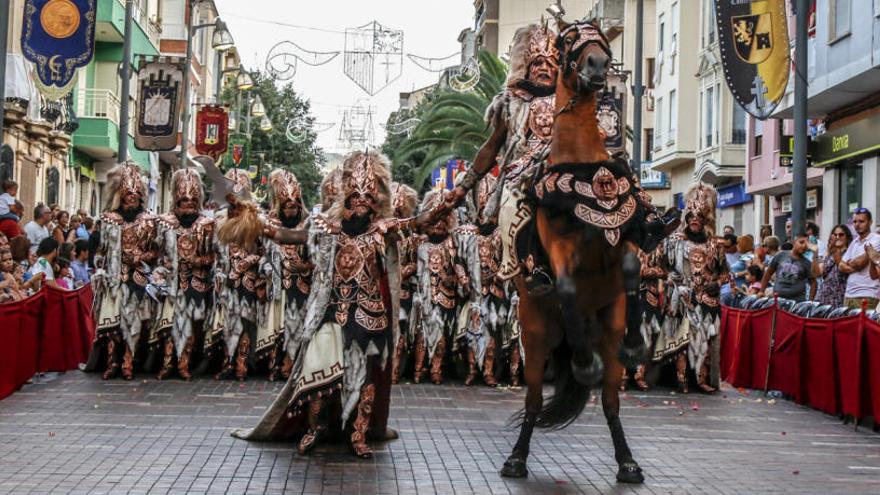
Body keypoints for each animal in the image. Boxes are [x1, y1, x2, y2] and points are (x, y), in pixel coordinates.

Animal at [502, 20, 648, 484]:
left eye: (601, 39)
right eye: (568, 39)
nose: (598, 63)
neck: (583, 166)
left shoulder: (618, 238)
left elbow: (633, 268)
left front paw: (637, 343)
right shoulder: (561, 248)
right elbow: (566, 286)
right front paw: (584, 364)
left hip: (607, 334)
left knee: (610, 401)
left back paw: (628, 462)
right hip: (535, 338)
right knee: (532, 400)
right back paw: (516, 458)